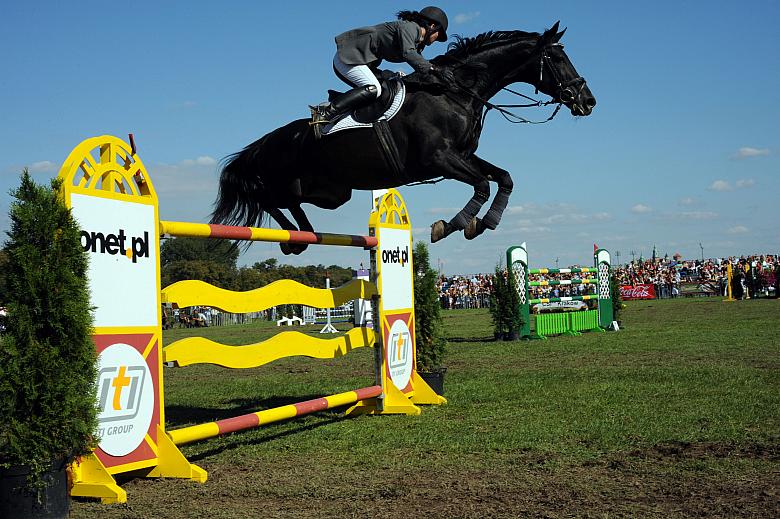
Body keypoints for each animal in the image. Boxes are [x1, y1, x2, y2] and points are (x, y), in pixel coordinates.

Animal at [210, 22, 596, 254]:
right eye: (557, 57)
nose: (588, 101)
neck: (456, 92)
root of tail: (267, 140)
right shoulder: (438, 159)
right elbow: (482, 185)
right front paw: (452, 225)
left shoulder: (462, 156)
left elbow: (504, 178)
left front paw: (484, 223)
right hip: (294, 181)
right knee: (265, 196)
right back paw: (293, 241)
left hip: (331, 192)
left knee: (289, 201)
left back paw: (303, 235)